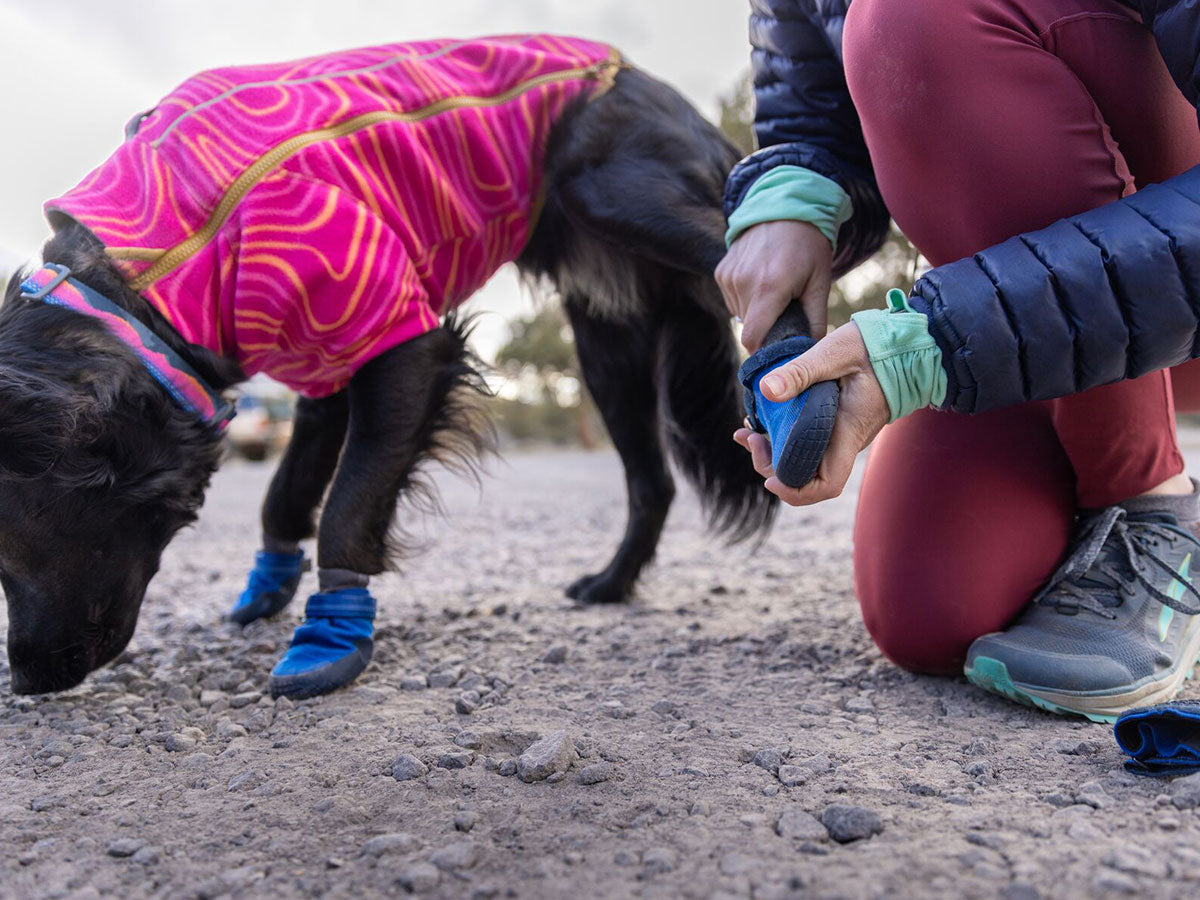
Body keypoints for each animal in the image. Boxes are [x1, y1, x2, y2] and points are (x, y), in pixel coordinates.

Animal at [0, 40, 777, 696]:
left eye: (5, 554)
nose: (26, 682)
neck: (151, 271)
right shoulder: (322, 369)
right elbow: (284, 495)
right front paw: (267, 589)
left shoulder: (404, 342)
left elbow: (347, 510)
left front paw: (329, 638)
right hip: (606, 344)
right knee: (653, 482)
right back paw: (612, 584)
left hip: (619, 198)